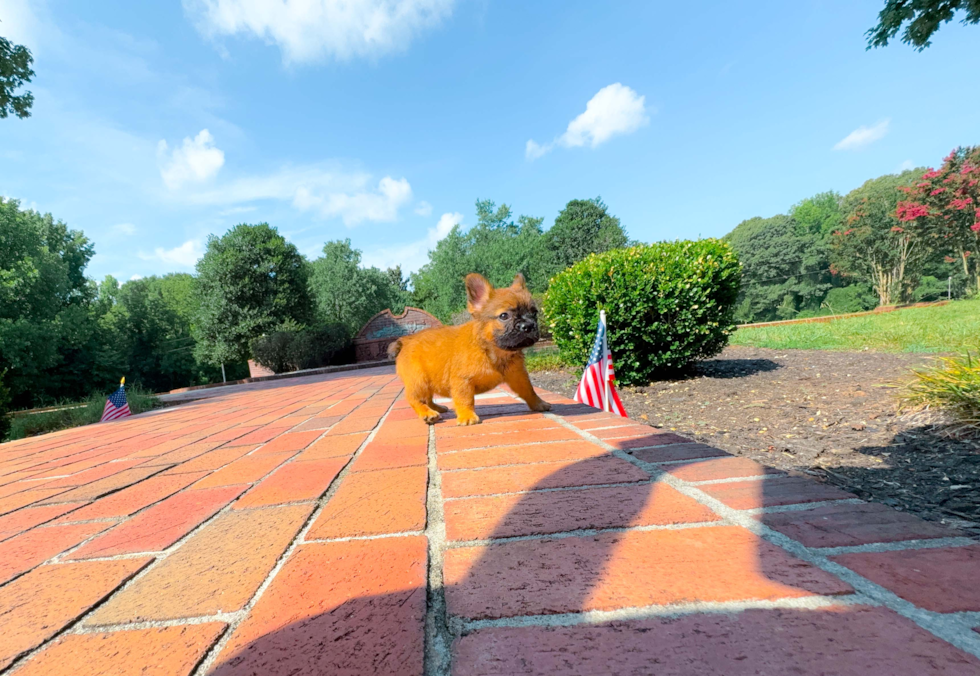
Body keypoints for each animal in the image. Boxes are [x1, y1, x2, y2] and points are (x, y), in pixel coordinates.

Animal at [388, 272, 552, 426]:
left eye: (534, 313)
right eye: (504, 316)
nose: (528, 325)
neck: (493, 350)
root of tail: (405, 341)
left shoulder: (518, 376)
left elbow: (529, 390)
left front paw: (538, 403)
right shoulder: (463, 381)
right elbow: (465, 399)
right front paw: (467, 415)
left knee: (427, 398)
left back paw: (436, 408)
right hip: (419, 380)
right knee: (414, 399)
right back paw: (427, 413)